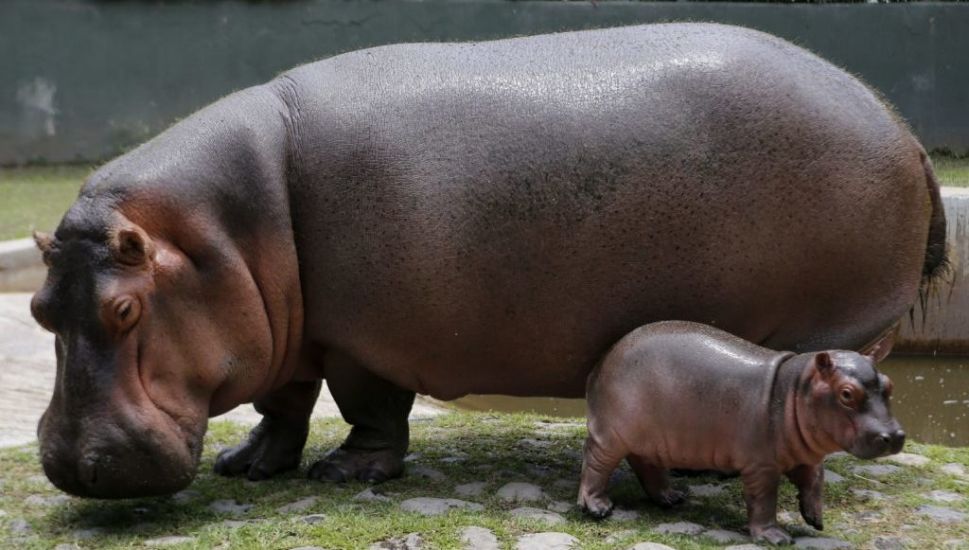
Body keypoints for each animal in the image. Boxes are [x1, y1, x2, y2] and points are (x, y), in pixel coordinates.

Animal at [32, 22, 944, 500]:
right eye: (40, 311)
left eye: (124, 309)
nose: (75, 467)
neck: (219, 229)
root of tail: (902, 129)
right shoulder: (287, 328)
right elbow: (282, 400)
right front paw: (250, 465)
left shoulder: (361, 337)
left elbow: (367, 406)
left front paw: (346, 472)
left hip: (835, 326)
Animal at [580, 322, 904, 544]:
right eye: (847, 393)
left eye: (889, 384)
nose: (895, 436)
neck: (793, 389)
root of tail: (602, 362)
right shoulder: (761, 465)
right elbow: (763, 500)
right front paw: (776, 538)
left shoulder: (807, 456)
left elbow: (815, 481)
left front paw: (816, 520)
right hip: (612, 434)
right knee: (595, 461)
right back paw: (597, 508)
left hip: (651, 438)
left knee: (644, 463)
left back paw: (673, 498)